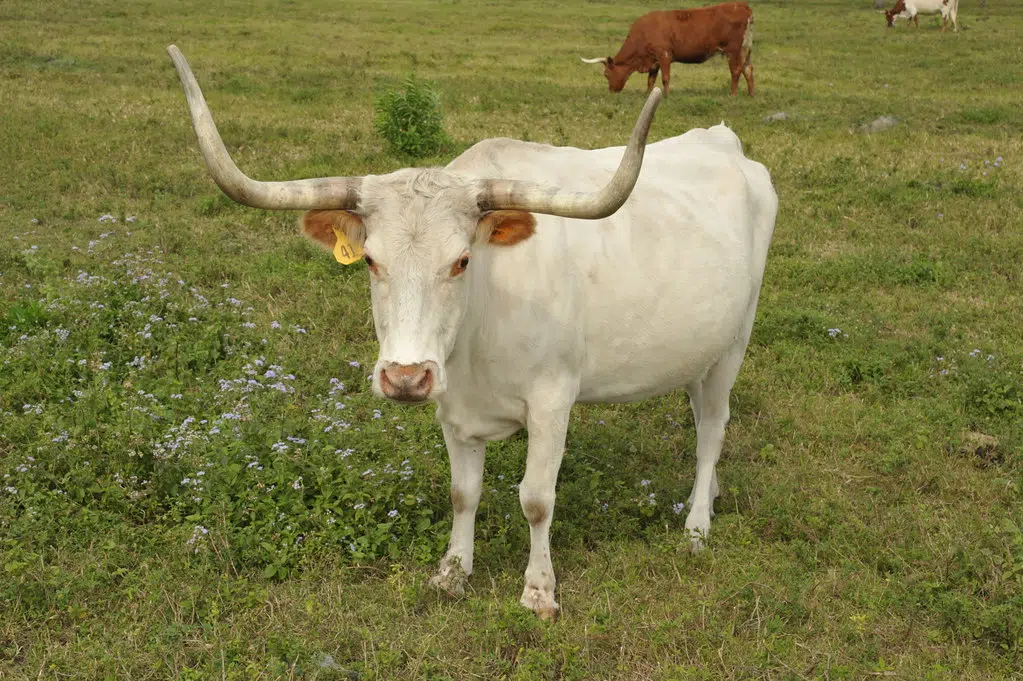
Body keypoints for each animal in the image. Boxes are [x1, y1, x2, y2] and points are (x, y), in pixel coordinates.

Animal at [169, 44, 773, 617]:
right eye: (370, 260)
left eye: (461, 260)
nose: (405, 378)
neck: (481, 327)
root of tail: (724, 140)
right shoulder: (452, 407)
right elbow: (464, 493)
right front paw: (452, 571)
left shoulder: (553, 400)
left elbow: (536, 498)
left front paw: (539, 591)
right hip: (698, 349)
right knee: (700, 415)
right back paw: (710, 495)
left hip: (736, 341)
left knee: (713, 428)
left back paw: (697, 524)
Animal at [581, 2, 757, 96]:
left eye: (606, 74)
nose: (611, 91)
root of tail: (741, 5)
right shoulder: (654, 61)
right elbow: (651, 80)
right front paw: (648, 94)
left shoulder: (664, 55)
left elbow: (665, 78)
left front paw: (666, 96)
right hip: (746, 50)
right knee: (748, 70)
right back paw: (751, 95)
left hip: (733, 51)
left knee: (736, 71)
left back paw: (732, 95)